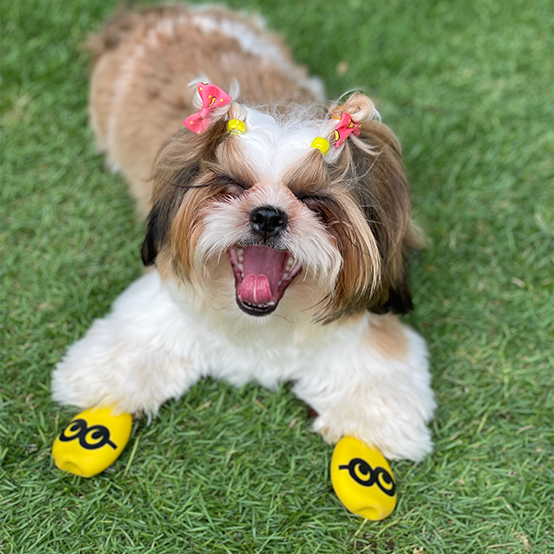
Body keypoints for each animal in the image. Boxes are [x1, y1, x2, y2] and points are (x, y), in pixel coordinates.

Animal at [49, 3, 434, 462]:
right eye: (232, 186)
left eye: (313, 200)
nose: (268, 215)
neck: (258, 325)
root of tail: (160, 14)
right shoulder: (160, 302)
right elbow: (130, 347)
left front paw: (374, 428)